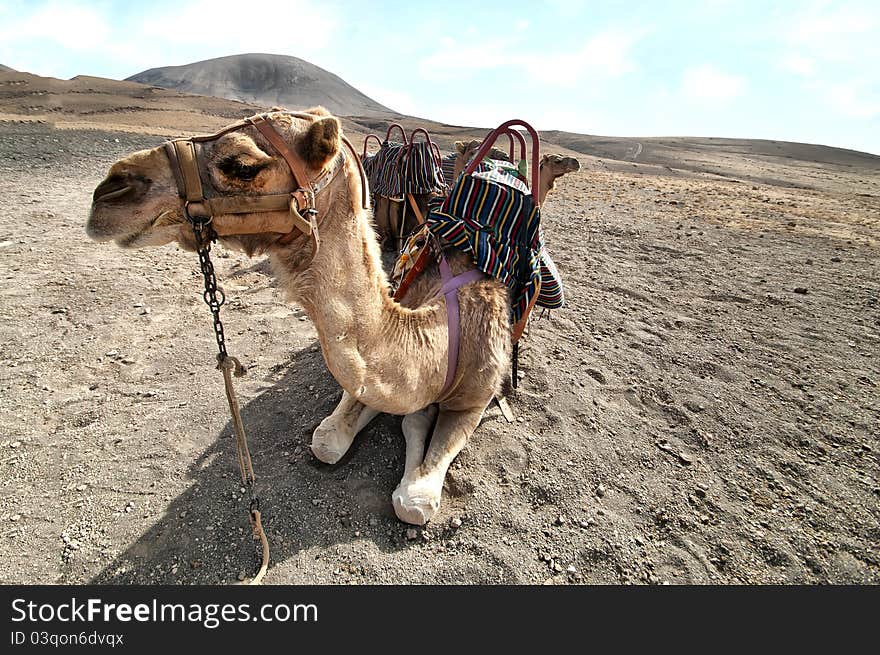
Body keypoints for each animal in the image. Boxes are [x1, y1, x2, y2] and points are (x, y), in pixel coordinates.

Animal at [86, 109, 512, 528]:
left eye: (242, 165)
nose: (110, 190)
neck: (439, 337)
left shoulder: (475, 401)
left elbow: (414, 503)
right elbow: (328, 439)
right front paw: (409, 418)